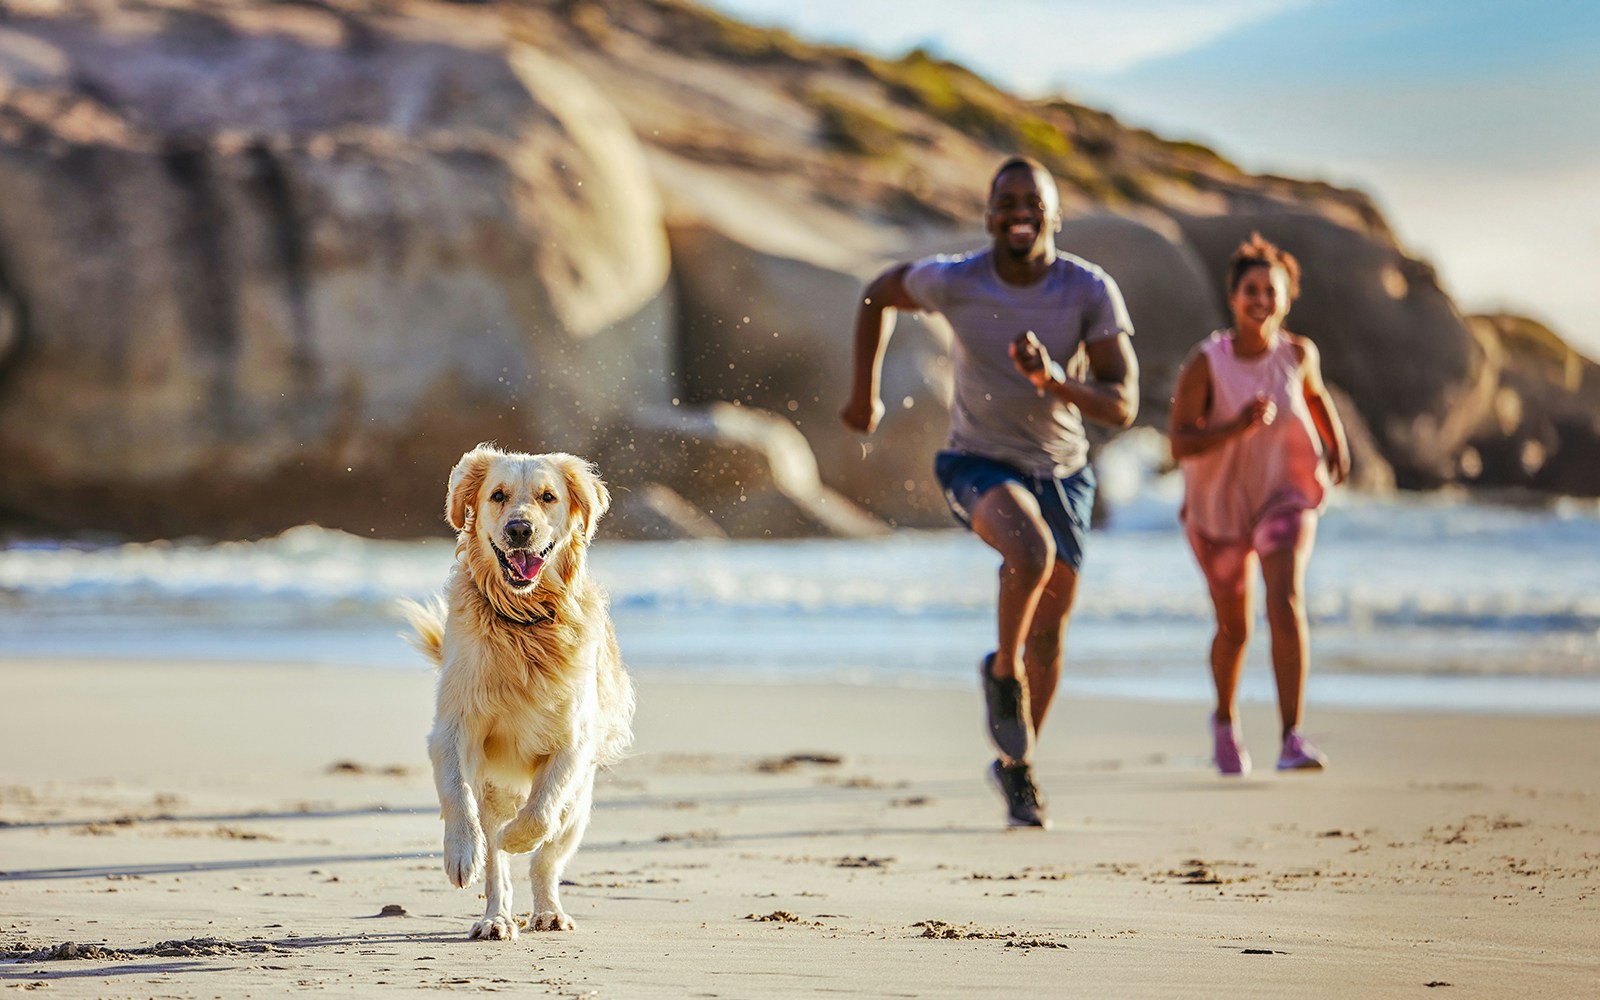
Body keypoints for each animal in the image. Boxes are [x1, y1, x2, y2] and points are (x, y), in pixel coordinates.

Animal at [400, 441, 636, 934]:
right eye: (498, 495)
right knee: (497, 868)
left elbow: (541, 813)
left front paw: (517, 838)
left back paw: (548, 911)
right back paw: (495, 918)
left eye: (548, 497)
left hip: (580, 807)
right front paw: (461, 852)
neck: (522, 623)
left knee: (548, 856)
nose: (519, 529)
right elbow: (457, 794)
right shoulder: (453, 727)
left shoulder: (573, 743)